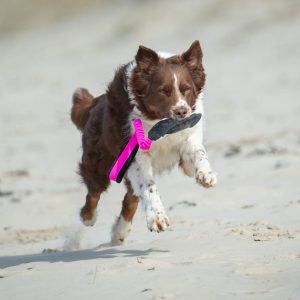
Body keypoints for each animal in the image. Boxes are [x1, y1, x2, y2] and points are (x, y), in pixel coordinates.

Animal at [70, 41, 216, 245]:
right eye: (164, 91)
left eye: (186, 89)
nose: (182, 112)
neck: (160, 125)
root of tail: (96, 103)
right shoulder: (135, 156)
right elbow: (149, 187)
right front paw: (157, 218)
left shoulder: (187, 138)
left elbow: (198, 153)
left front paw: (206, 175)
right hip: (99, 161)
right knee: (94, 192)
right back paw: (88, 218)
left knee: (129, 199)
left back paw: (119, 233)